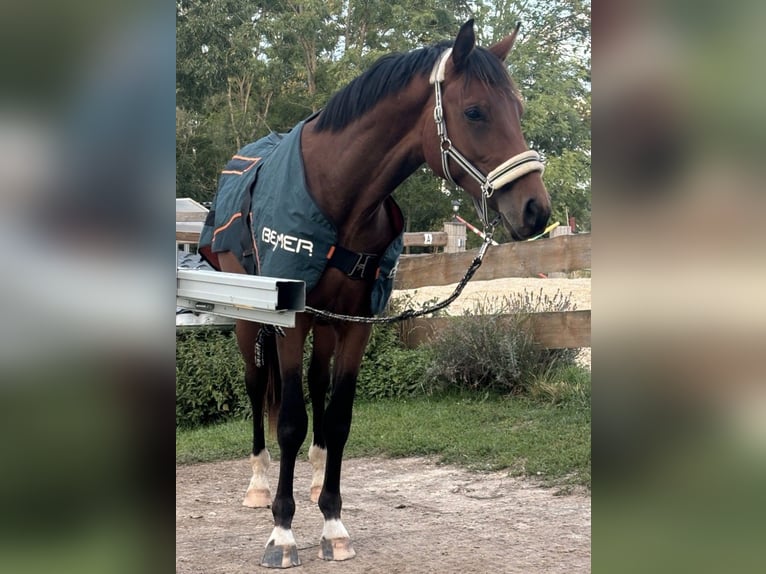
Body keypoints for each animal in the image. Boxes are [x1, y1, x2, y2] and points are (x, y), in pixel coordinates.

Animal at [198, 19, 551, 568]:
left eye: (518, 110)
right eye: (475, 111)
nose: (535, 209)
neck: (340, 196)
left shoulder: (356, 324)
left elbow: (338, 416)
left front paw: (332, 521)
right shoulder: (292, 323)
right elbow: (290, 422)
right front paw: (283, 532)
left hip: (326, 325)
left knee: (316, 387)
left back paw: (314, 476)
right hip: (248, 322)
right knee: (258, 390)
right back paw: (258, 485)